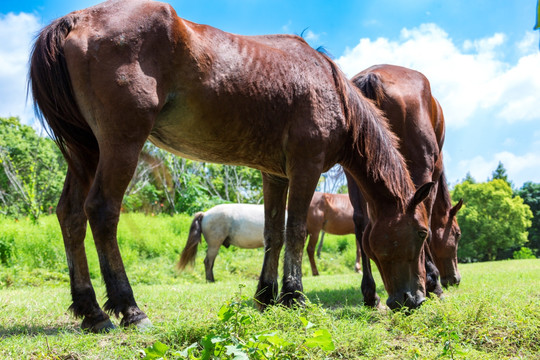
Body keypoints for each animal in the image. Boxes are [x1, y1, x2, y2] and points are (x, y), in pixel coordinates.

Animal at [30, 0, 434, 332]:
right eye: (422, 233)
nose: (415, 300)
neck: (331, 88)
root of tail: (77, 18)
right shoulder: (306, 166)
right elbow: (296, 231)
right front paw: (295, 297)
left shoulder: (275, 175)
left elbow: (274, 233)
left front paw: (266, 296)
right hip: (120, 144)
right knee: (102, 211)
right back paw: (129, 309)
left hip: (85, 151)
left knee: (70, 215)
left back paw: (91, 311)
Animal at [350, 64, 464, 306]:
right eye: (457, 234)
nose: (455, 279)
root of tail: (372, 78)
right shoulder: (433, 170)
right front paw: (433, 283)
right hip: (421, 163)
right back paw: (433, 284)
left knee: (360, 221)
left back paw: (370, 294)